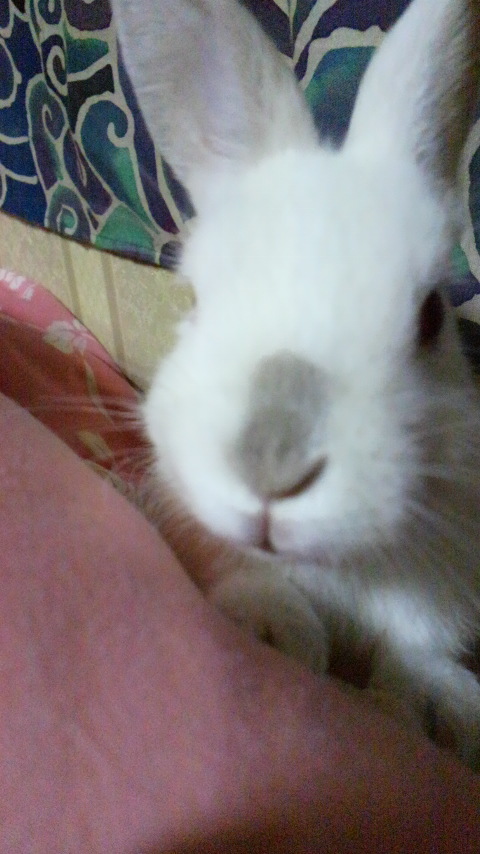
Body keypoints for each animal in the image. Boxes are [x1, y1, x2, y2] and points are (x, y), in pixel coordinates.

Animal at [111, 0, 480, 769]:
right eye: (196, 300)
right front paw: (270, 630)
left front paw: (435, 712)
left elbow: (413, 653)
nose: (272, 465)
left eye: (431, 316)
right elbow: (263, 586)